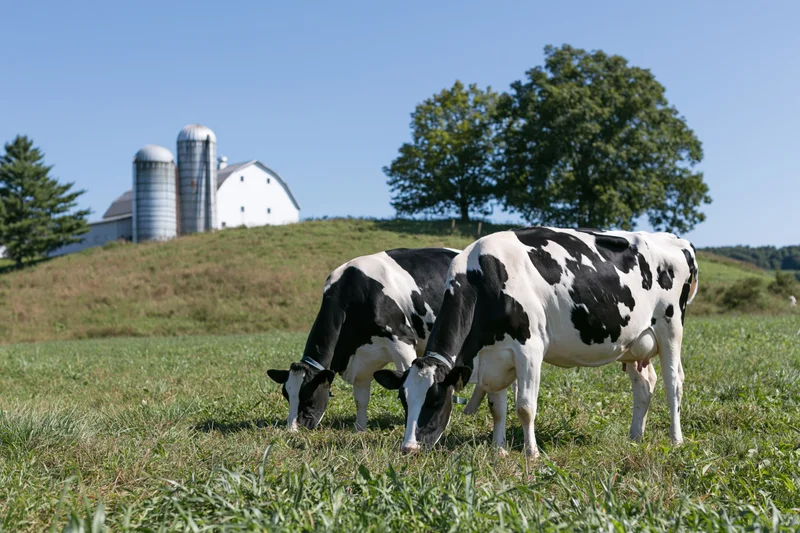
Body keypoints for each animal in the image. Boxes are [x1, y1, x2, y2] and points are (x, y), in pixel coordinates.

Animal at [267, 247, 480, 432]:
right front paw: (360, 430)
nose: (292, 430)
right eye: (287, 396)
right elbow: (361, 399)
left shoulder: (402, 341)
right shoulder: (361, 360)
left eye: (309, 399)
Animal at [375, 227, 698, 456]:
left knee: (673, 384)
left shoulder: (529, 349)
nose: (409, 448)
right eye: (403, 399)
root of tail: (675, 240)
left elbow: (525, 406)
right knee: (644, 385)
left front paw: (531, 453)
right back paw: (635, 437)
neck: (485, 279)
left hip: (671, 328)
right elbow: (497, 408)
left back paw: (676, 439)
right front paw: (499, 449)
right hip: (634, 343)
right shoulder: (495, 356)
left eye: (435, 398)